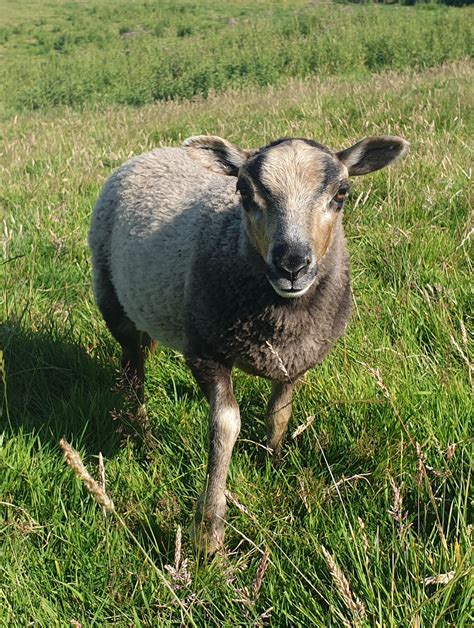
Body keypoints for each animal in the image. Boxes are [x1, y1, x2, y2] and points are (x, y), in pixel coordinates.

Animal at [88, 134, 408, 556]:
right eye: (243, 191)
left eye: (342, 193)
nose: (292, 264)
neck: (281, 314)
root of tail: (154, 151)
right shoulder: (206, 351)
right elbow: (225, 427)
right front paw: (210, 533)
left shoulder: (296, 359)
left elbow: (280, 414)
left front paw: (273, 462)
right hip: (111, 296)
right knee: (132, 369)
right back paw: (142, 435)